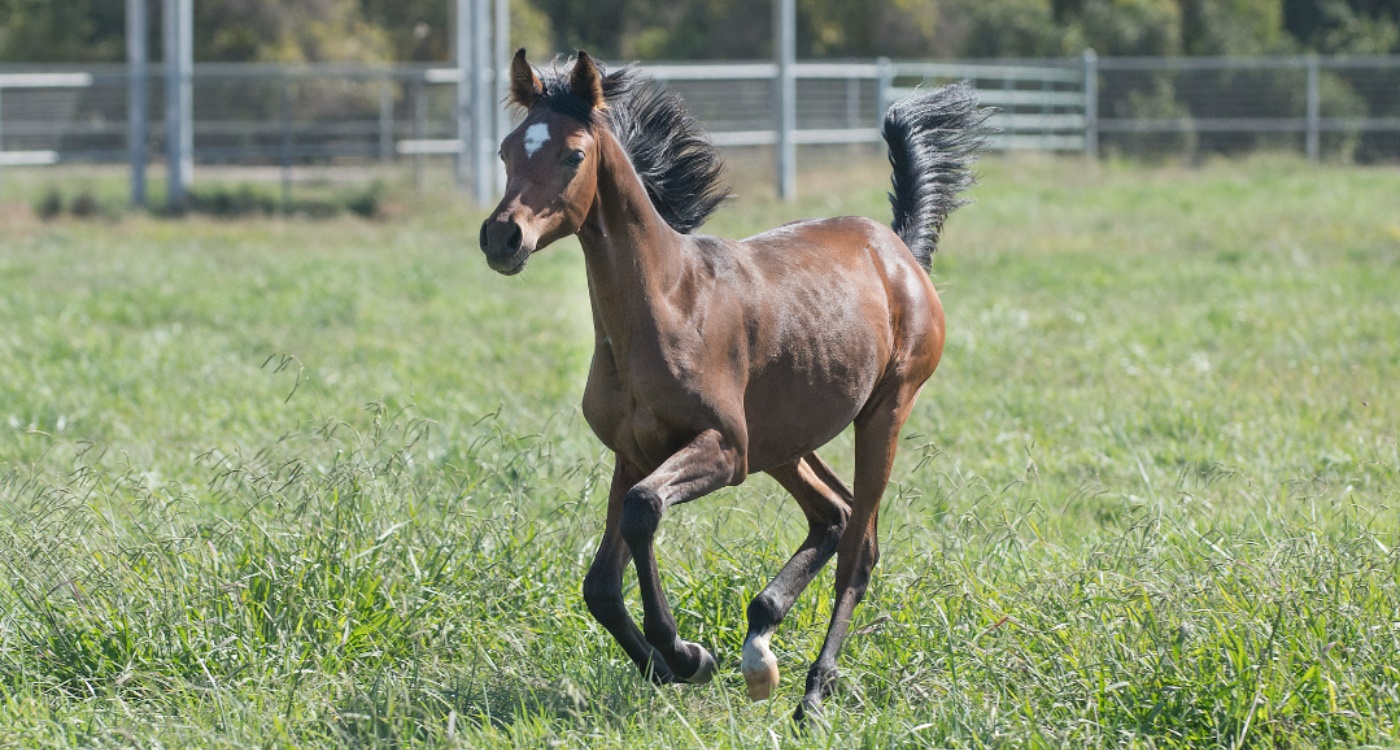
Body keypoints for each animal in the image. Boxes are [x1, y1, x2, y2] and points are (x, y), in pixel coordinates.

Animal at [479, 49, 990, 721]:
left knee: (859, 550)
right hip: (782, 440)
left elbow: (643, 510)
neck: (669, 304)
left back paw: (811, 692)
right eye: (508, 149)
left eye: (573, 155)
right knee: (833, 513)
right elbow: (601, 585)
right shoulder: (632, 453)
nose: (501, 237)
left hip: (882, 412)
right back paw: (760, 640)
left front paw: (685, 653)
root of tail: (899, 249)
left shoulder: (724, 449)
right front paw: (670, 665)